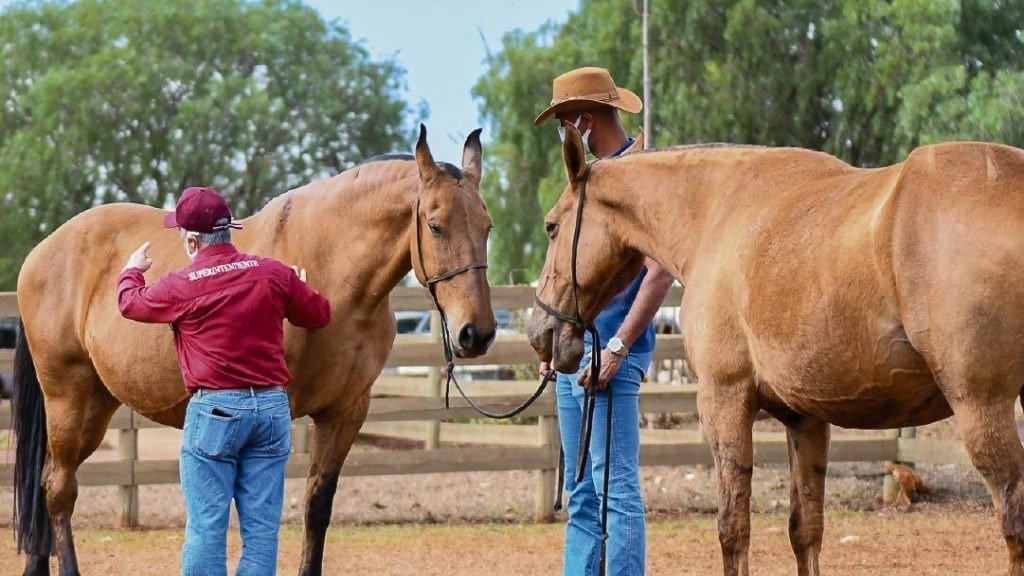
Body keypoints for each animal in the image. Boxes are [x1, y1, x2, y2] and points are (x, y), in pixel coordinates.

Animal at [12, 125, 496, 576]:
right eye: (435, 225)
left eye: (487, 226)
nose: (477, 333)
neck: (332, 270)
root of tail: (43, 249)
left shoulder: (345, 413)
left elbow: (317, 507)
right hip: (67, 397)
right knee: (59, 489)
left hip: (97, 404)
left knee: (47, 481)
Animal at [528, 125, 1024, 576]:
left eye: (551, 227)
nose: (541, 333)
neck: (716, 212)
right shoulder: (806, 419)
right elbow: (805, 530)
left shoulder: (724, 400)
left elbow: (733, 528)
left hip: (982, 408)